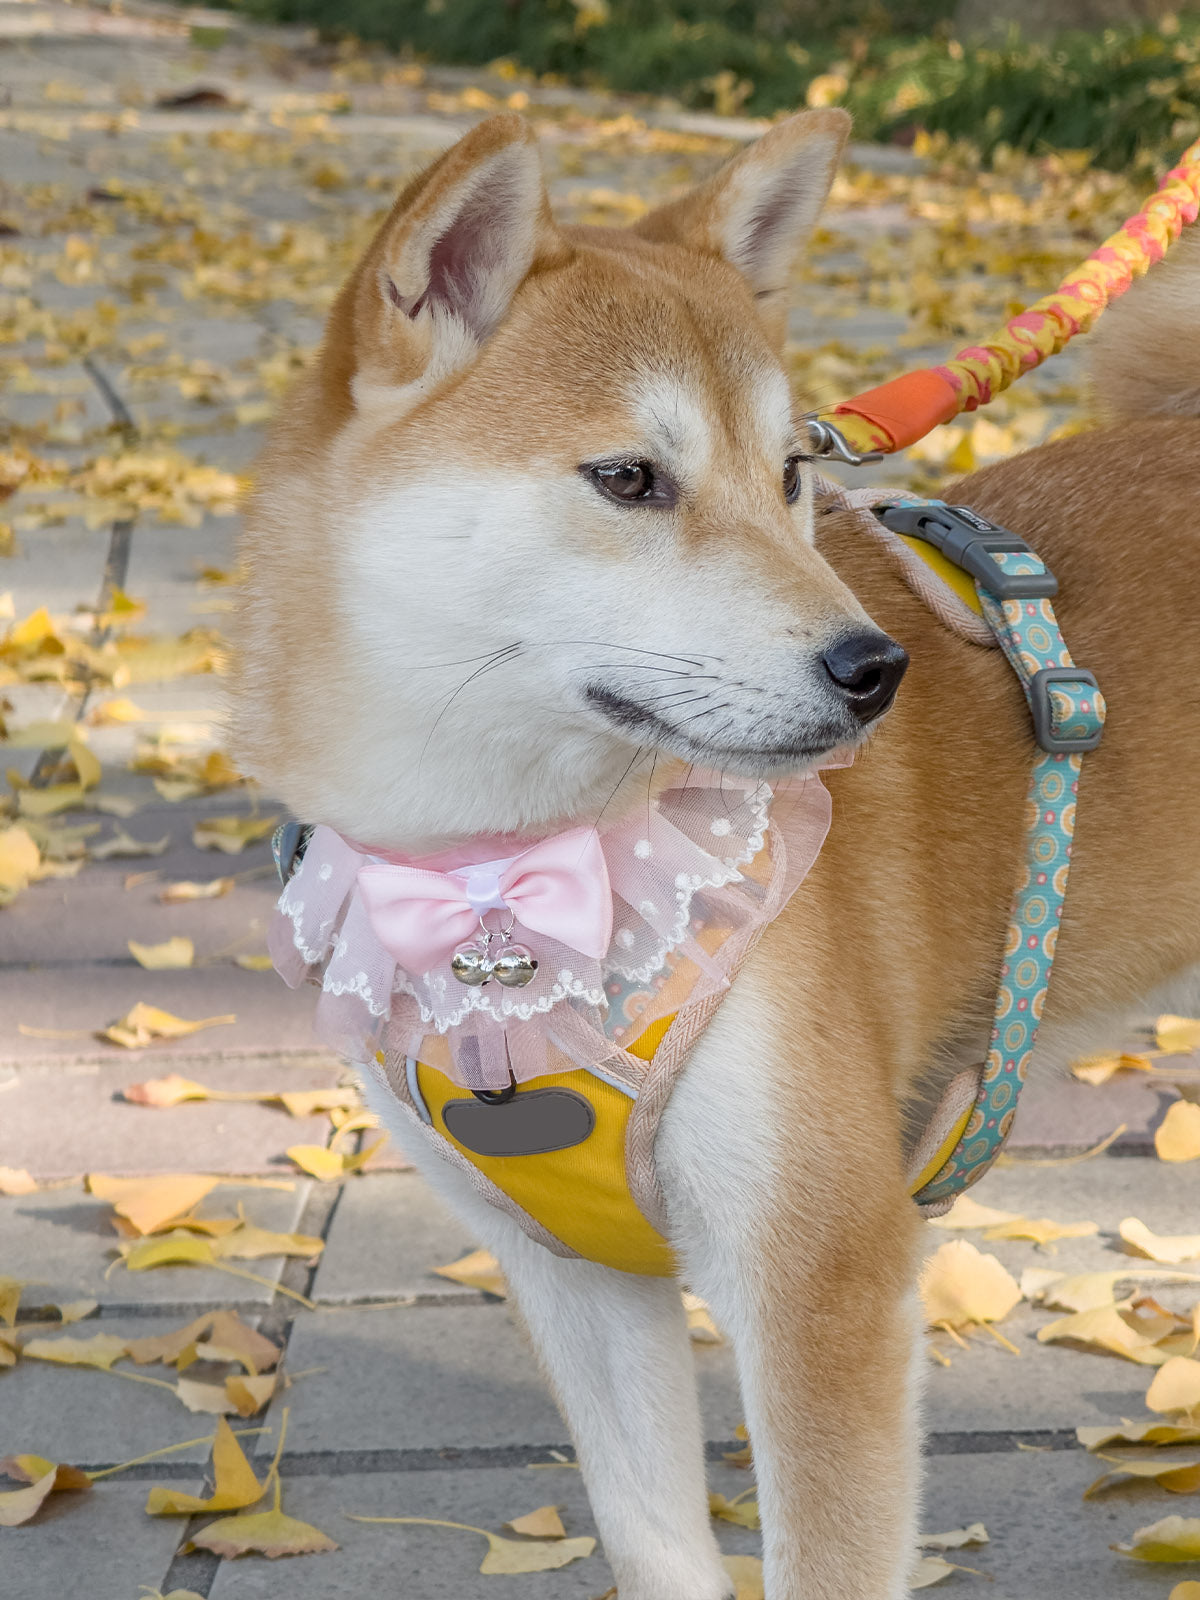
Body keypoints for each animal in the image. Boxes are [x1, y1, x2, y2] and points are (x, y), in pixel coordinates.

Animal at [235, 108, 1200, 1597]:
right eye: (630, 478)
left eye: (791, 474)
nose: (878, 668)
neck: (503, 882)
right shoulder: (576, 1278)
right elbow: (655, 1541)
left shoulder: (821, 1275)